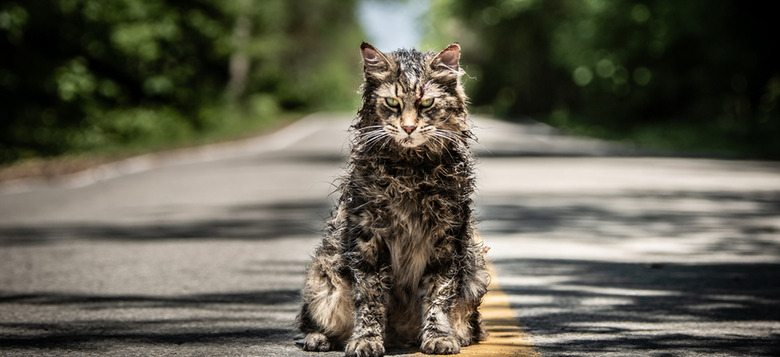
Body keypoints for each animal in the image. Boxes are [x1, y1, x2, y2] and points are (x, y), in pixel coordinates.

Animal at [298, 43, 488, 354]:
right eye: (392, 103)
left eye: (426, 104)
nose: (409, 128)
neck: (410, 172)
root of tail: (399, 336)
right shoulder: (368, 237)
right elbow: (370, 298)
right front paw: (366, 339)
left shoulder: (446, 238)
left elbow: (438, 294)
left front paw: (438, 336)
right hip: (323, 275)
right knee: (313, 320)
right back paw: (318, 338)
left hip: (476, 269)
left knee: (469, 324)